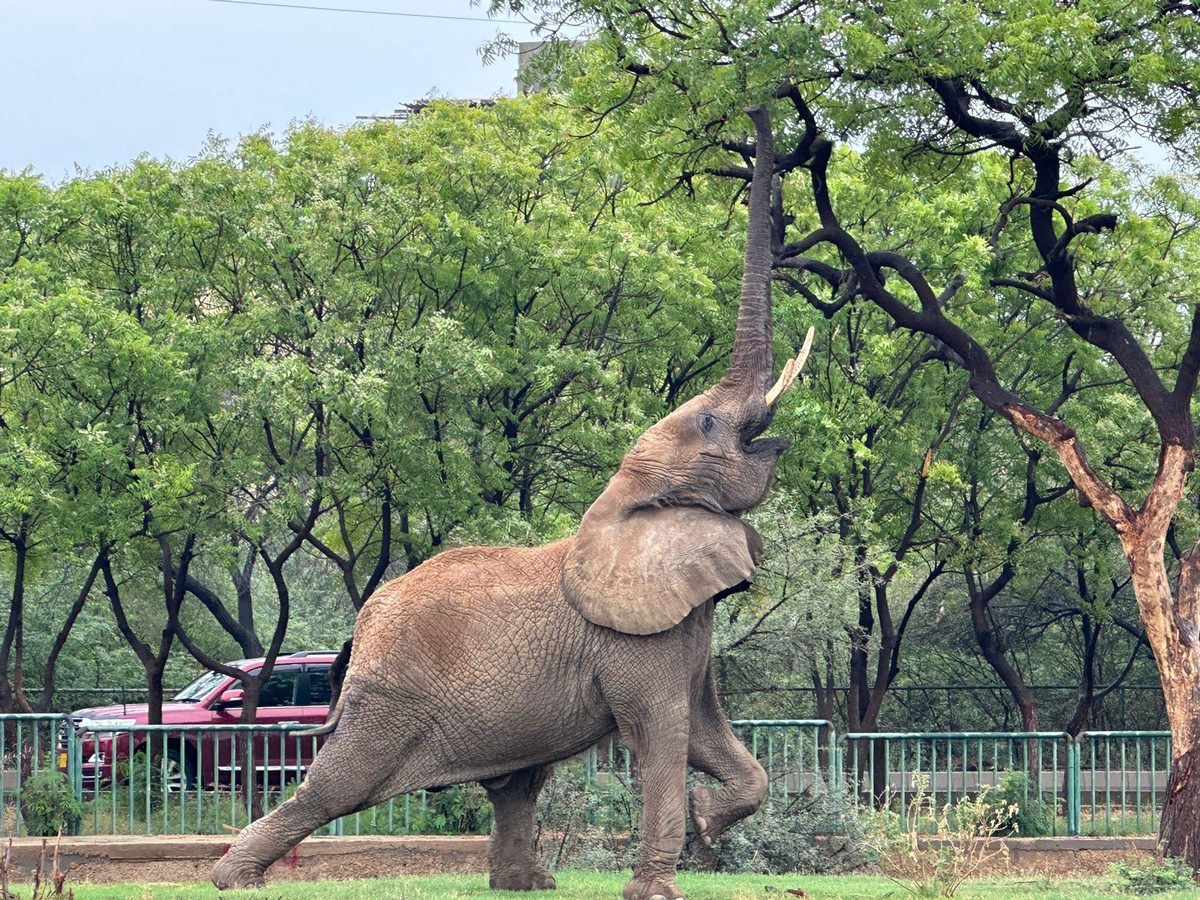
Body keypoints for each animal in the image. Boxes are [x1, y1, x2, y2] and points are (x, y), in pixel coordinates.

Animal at [216, 107, 816, 900]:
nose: (758, 108)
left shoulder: (683, 626)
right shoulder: (633, 638)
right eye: (711, 424)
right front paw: (658, 887)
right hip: (388, 700)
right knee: (337, 786)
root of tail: (364, 620)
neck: (627, 500)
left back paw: (525, 884)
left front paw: (711, 821)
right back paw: (231, 879)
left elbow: (709, 731)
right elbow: (661, 731)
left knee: (515, 784)